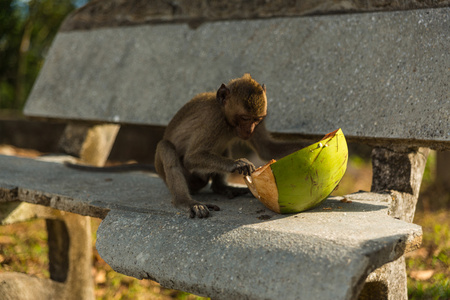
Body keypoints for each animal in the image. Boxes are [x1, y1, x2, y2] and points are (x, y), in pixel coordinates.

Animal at [155, 73, 306, 218]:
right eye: (245, 118)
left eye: (256, 120)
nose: (250, 131)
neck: (225, 118)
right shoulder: (213, 120)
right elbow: (191, 158)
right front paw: (237, 163)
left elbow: (266, 149)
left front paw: (306, 144)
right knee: (166, 148)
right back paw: (185, 202)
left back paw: (221, 187)